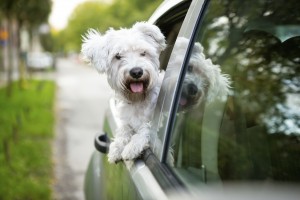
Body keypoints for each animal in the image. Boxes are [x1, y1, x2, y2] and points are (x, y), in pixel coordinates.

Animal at [81, 21, 166, 163]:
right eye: (118, 56)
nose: (136, 72)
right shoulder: (126, 120)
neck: (138, 100)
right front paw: (117, 147)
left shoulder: (156, 123)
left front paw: (132, 146)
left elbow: (147, 128)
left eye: (143, 53)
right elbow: (124, 130)